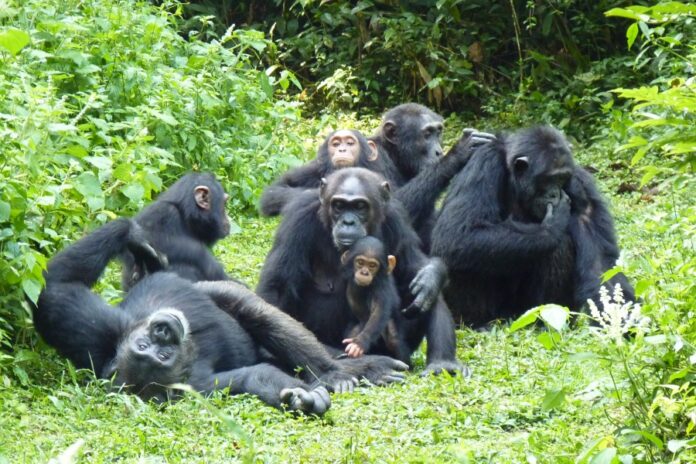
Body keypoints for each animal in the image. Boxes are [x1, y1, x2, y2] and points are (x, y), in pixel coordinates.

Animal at [35, 219, 410, 412]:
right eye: (160, 356)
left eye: (146, 345)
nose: (163, 331)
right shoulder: (201, 388)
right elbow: (253, 377)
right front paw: (312, 393)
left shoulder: (96, 330)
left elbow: (55, 290)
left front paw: (135, 236)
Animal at [256, 168, 468, 376]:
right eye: (339, 206)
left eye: (359, 206)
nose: (348, 222)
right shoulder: (298, 217)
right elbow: (277, 289)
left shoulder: (396, 217)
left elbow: (413, 266)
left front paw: (431, 276)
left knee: (424, 294)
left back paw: (442, 363)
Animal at [370, 104, 494, 250]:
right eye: (427, 134)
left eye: (438, 132)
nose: (438, 151)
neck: (395, 156)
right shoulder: (374, 156)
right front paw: (458, 152)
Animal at [430, 124, 636, 326]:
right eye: (549, 179)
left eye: (562, 178)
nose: (555, 193)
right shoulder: (484, 164)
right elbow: (458, 232)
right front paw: (551, 227)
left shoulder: (580, 185)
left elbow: (600, 263)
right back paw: (479, 323)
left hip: (527, 311)